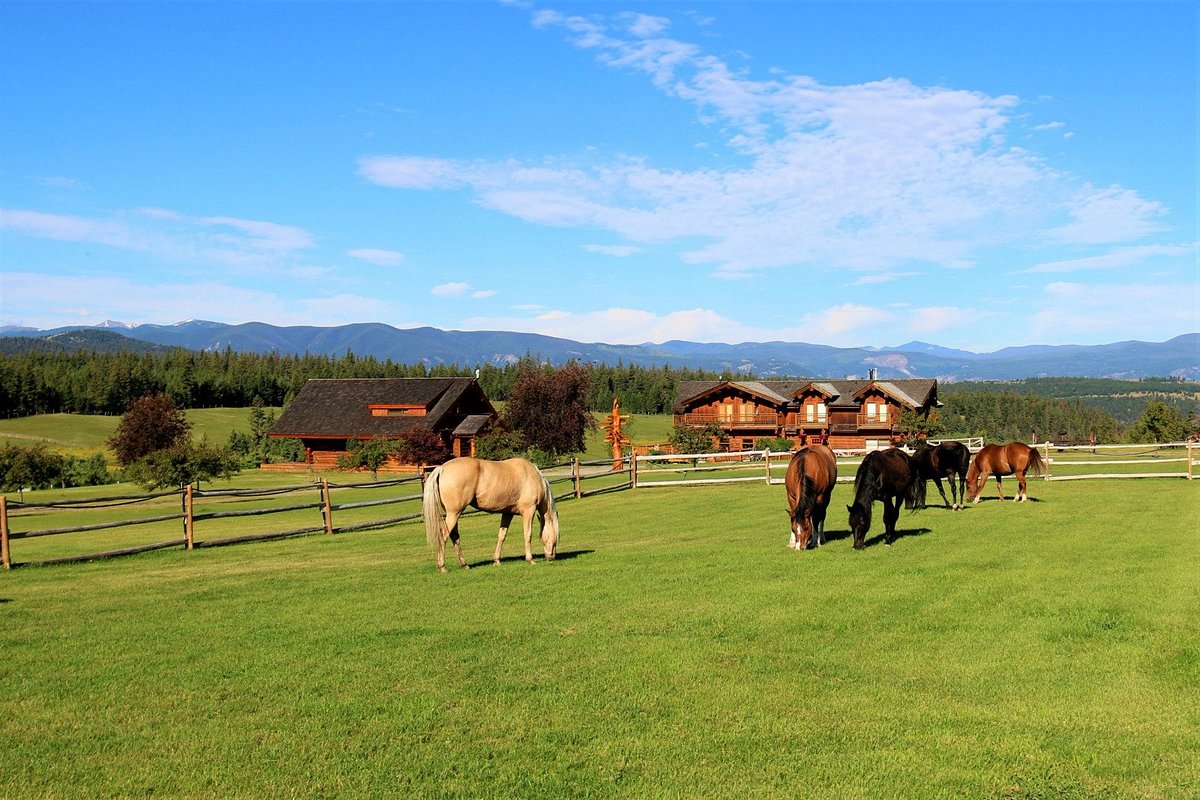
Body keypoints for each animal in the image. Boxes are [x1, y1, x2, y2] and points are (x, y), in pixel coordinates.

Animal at [420, 455, 559, 575]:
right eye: (556, 538)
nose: (551, 557)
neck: (532, 476)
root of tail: (442, 468)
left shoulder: (507, 513)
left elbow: (502, 536)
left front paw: (497, 560)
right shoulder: (528, 511)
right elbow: (527, 534)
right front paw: (530, 559)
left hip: (453, 514)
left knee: (454, 536)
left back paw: (464, 564)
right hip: (453, 514)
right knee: (443, 535)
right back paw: (442, 566)